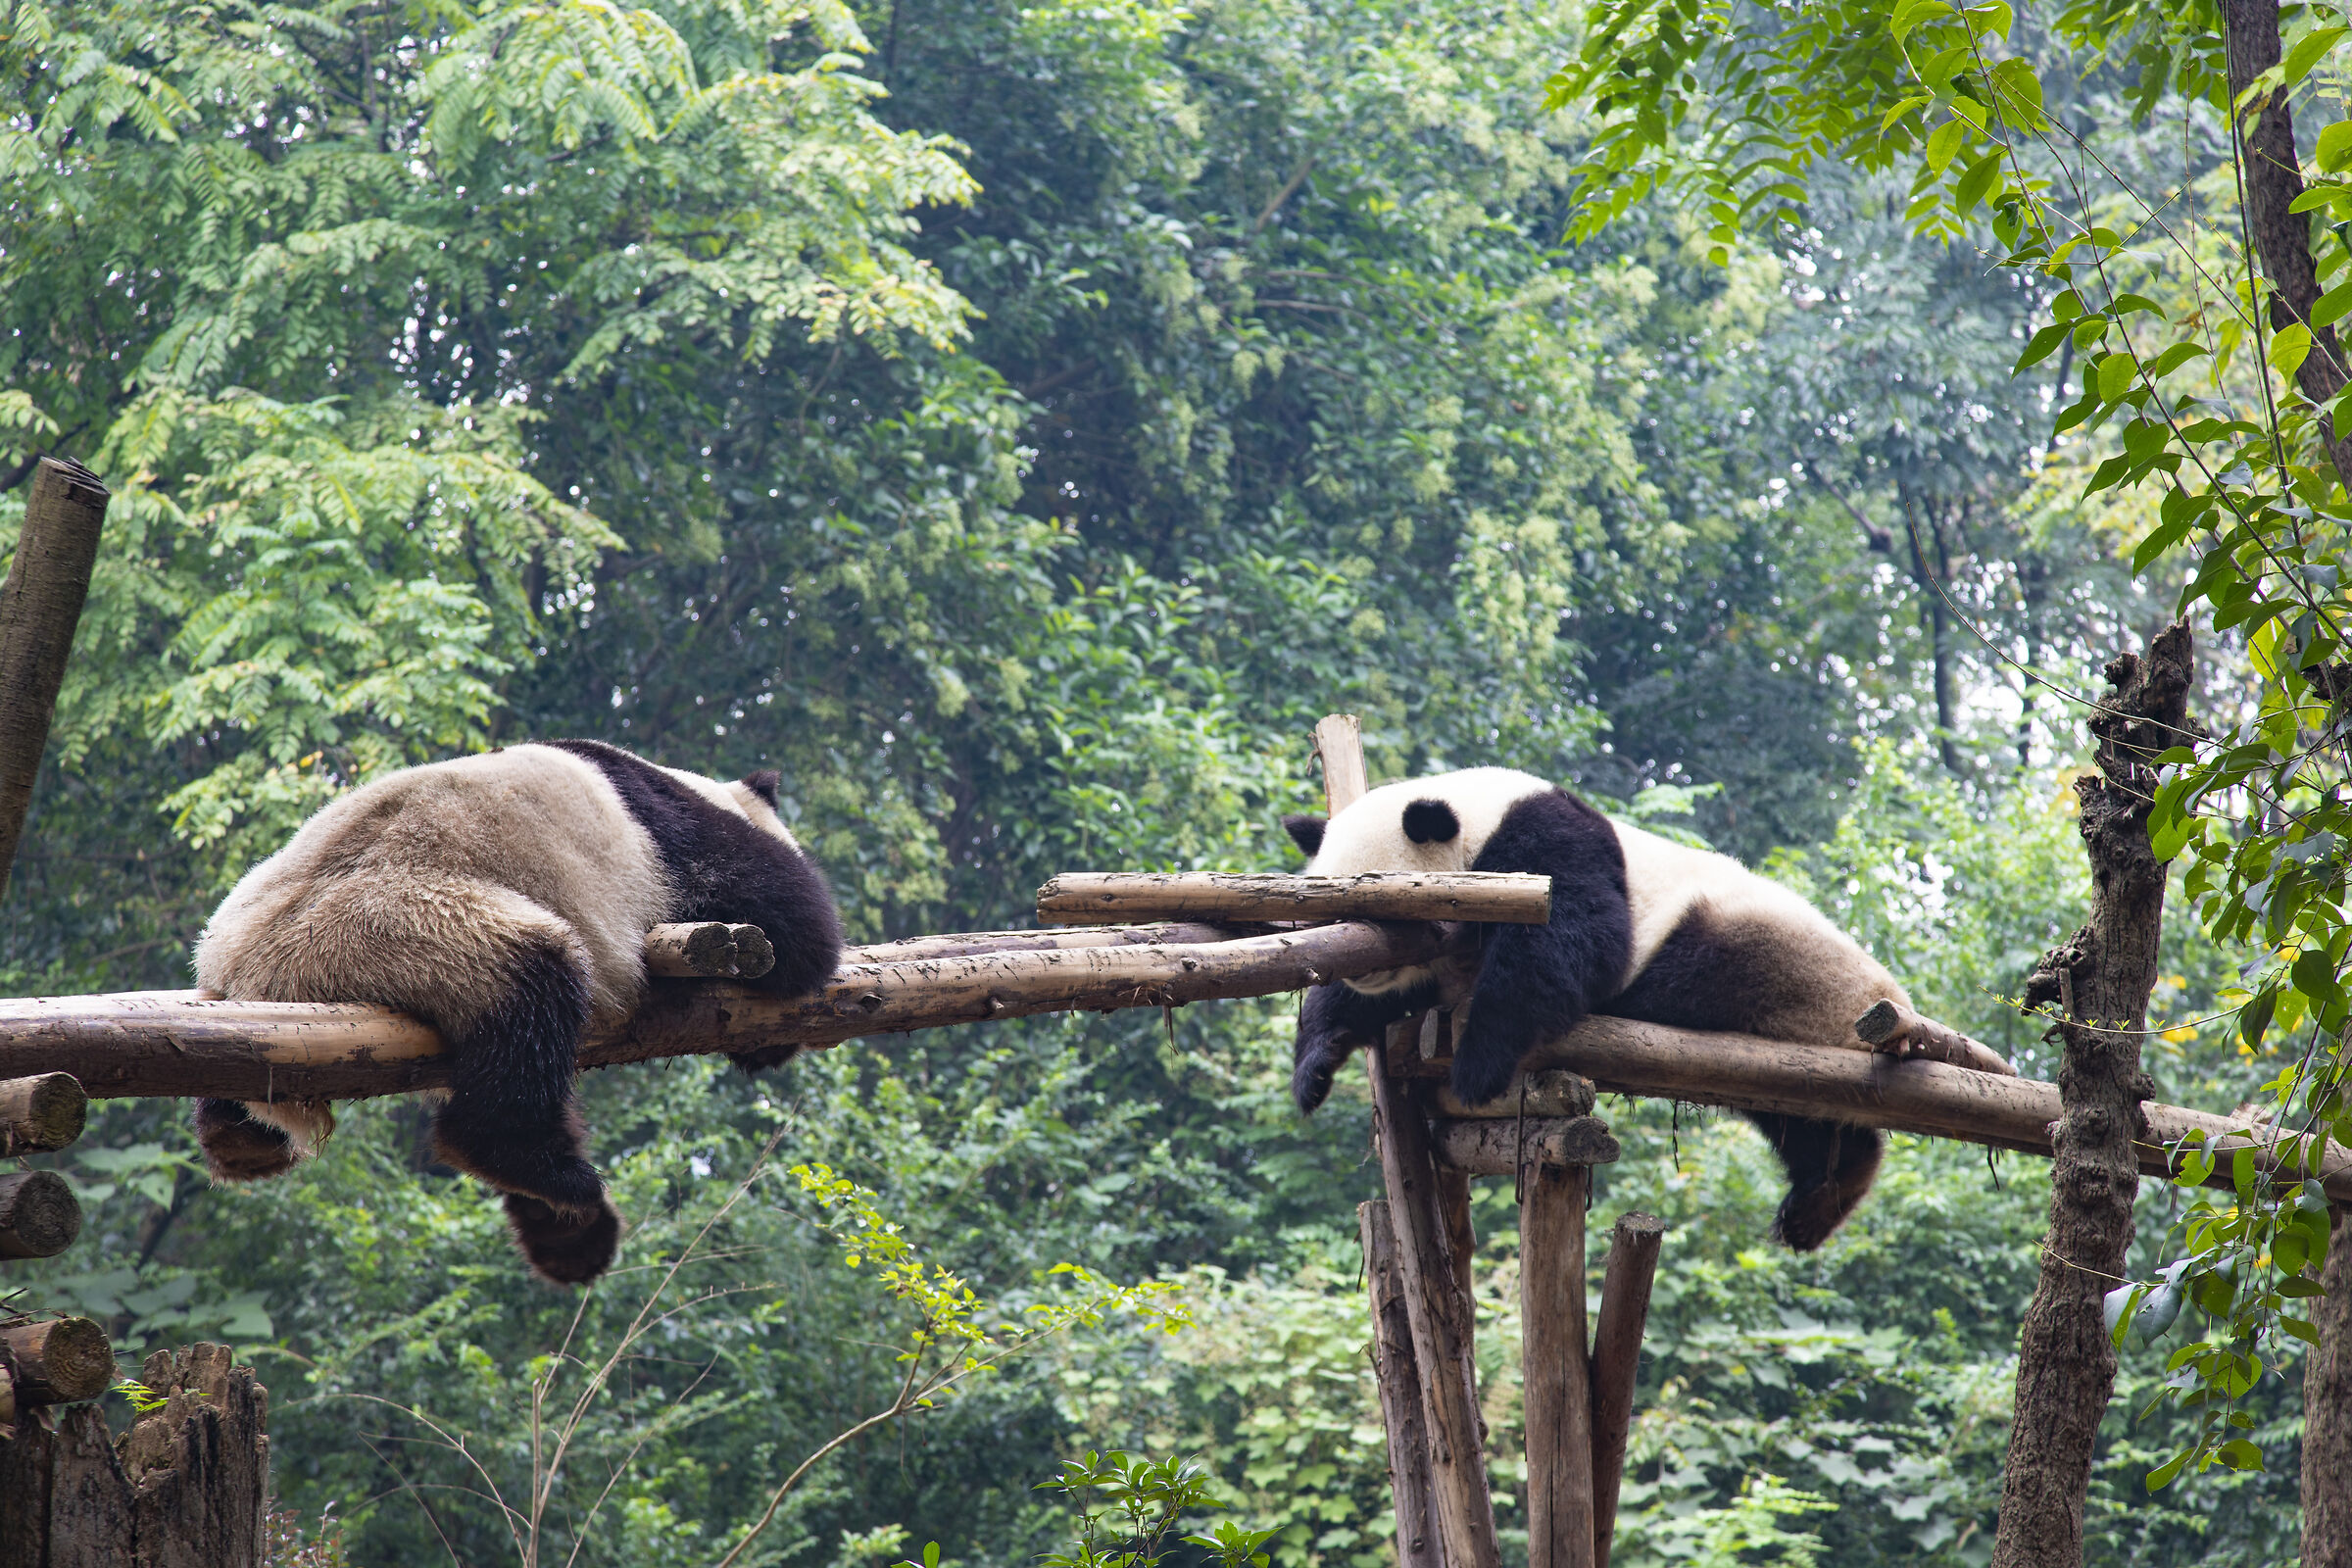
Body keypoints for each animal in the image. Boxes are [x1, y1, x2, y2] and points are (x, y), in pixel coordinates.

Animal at [191, 740, 842, 1285]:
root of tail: (259, 978)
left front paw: (566, 1242)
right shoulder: (672, 835)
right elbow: (782, 912)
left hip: (245, 956)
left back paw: (239, 1139)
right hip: (398, 924)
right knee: (531, 994)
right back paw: (535, 1164)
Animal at [1285, 767, 1912, 1251]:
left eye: (1380, 900)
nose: (1361, 969)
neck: (1477, 818)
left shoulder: (1543, 849)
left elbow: (1571, 940)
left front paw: (1478, 1066)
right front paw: (1314, 1071)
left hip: (1761, 957)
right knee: (1802, 1122)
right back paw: (1818, 1202)